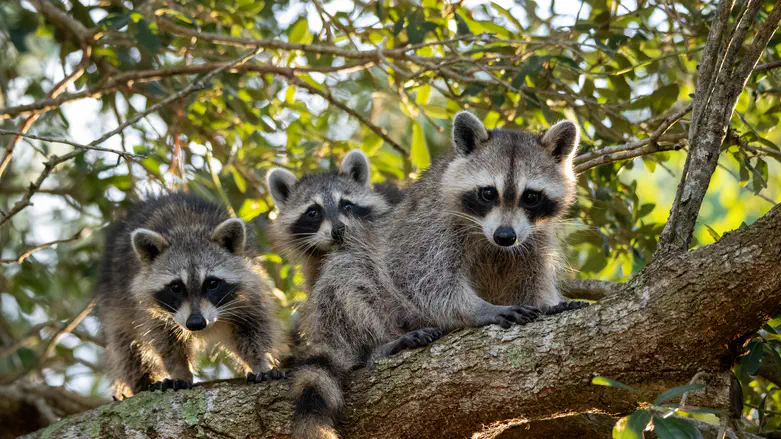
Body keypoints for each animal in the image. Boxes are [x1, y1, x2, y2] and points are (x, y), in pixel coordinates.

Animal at [95, 192, 284, 398]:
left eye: (212, 283)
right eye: (176, 287)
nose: (196, 323)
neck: (187, 229)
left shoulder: (248, 292)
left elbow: (253, 328)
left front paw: (261, 363)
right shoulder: (145, 306)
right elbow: (163, 339)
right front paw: (180, 371)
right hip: (114, 299)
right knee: (125, 347)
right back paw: (141, 382)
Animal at [292, 111, 584, 438]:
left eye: (531, 196)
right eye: (488, 193)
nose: (505, 236)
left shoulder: (534, 238)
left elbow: (530, 280)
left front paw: (548, 305)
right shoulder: (431, 223)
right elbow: (422, 277)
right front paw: (480, 309)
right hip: (341, 300)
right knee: (348, 279)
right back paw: (378, 345)